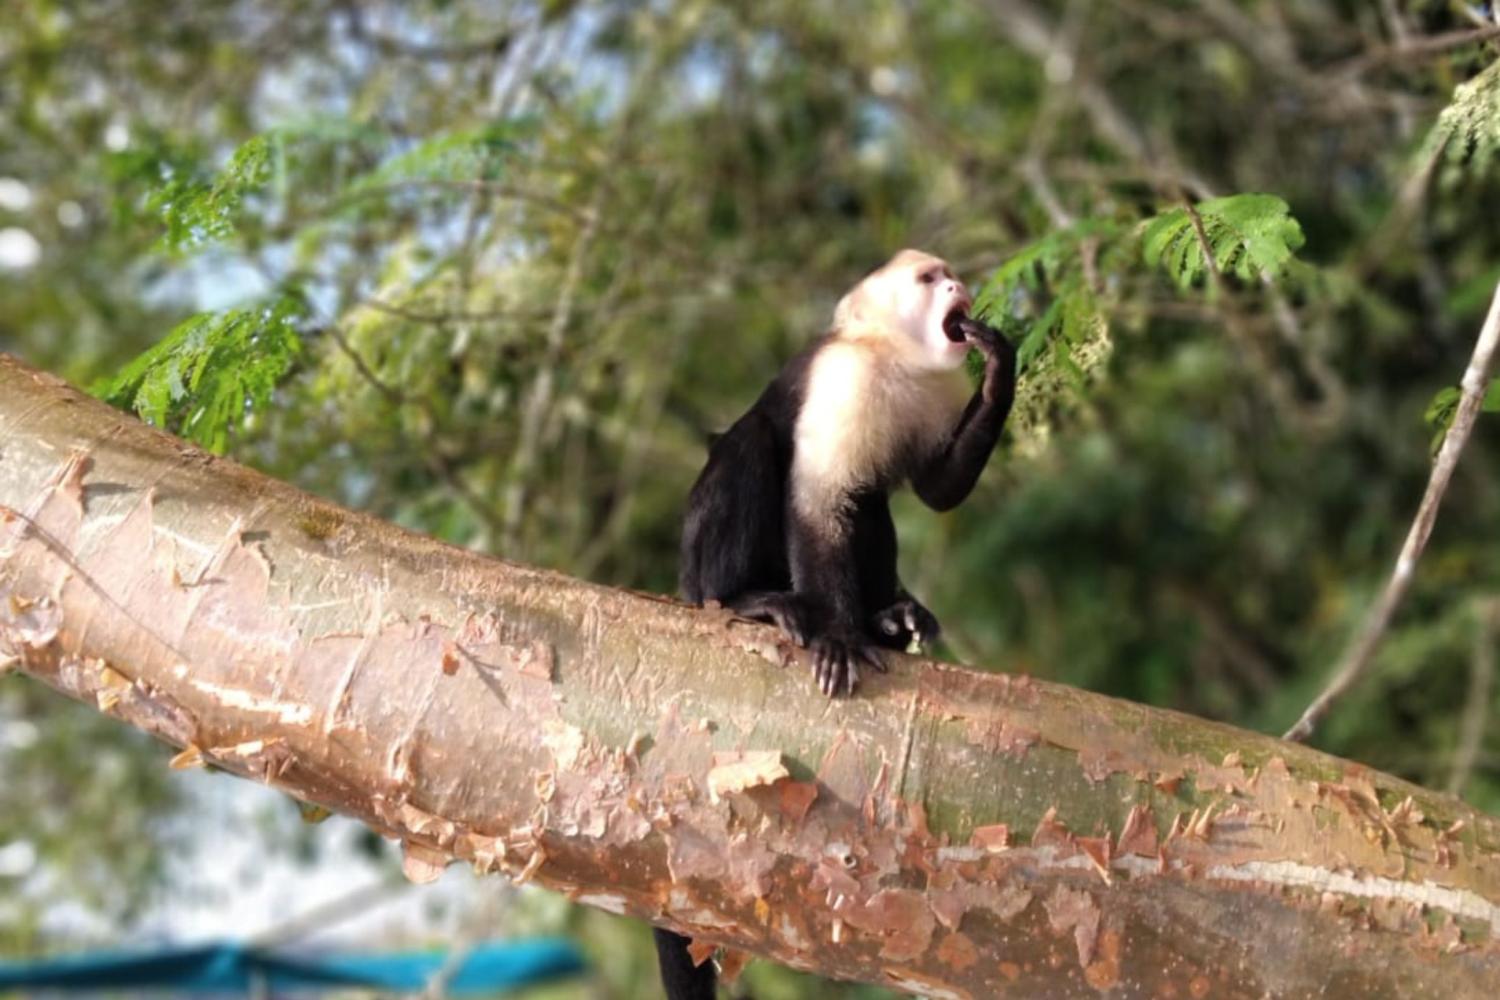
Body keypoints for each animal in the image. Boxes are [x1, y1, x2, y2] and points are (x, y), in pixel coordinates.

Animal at [656, 249, 1015, 998]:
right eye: (928, 279)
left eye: (947, 274)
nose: (956, 285)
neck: (895, 361)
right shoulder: (847, 382)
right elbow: (818, 503)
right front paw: (839, 638)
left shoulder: (934, 390)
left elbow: (936, 491)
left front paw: (1002, 365)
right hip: (701, 560)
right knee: (757, 443)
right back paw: (746, 600)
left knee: (871, 495)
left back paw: (890, 615)